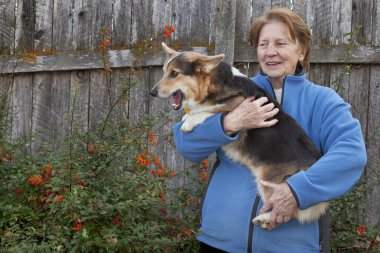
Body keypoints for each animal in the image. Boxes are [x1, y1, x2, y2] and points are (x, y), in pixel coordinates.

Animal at [150, 42, 328, 229]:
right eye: (164, 71)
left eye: (174, 73)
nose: (152, 93)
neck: (213, 83)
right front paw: (187, 116)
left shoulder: (236, 104)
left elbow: (212, 110)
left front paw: (189, 121)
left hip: (271, 184)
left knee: (287, 213)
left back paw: (265, 219)